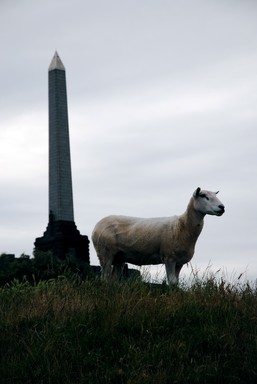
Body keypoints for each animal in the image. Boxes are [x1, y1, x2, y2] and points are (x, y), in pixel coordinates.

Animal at [91, 188, 224, 284]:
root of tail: (97, 224)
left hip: (119, 257)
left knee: (114, 279)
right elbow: (172, 282)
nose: (222, 207)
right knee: (105, 278)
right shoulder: (169, 258)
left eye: (215, 195)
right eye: (203, 196)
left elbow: (176, 282)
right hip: (105, 253)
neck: (182, 225)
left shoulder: (180, 261)